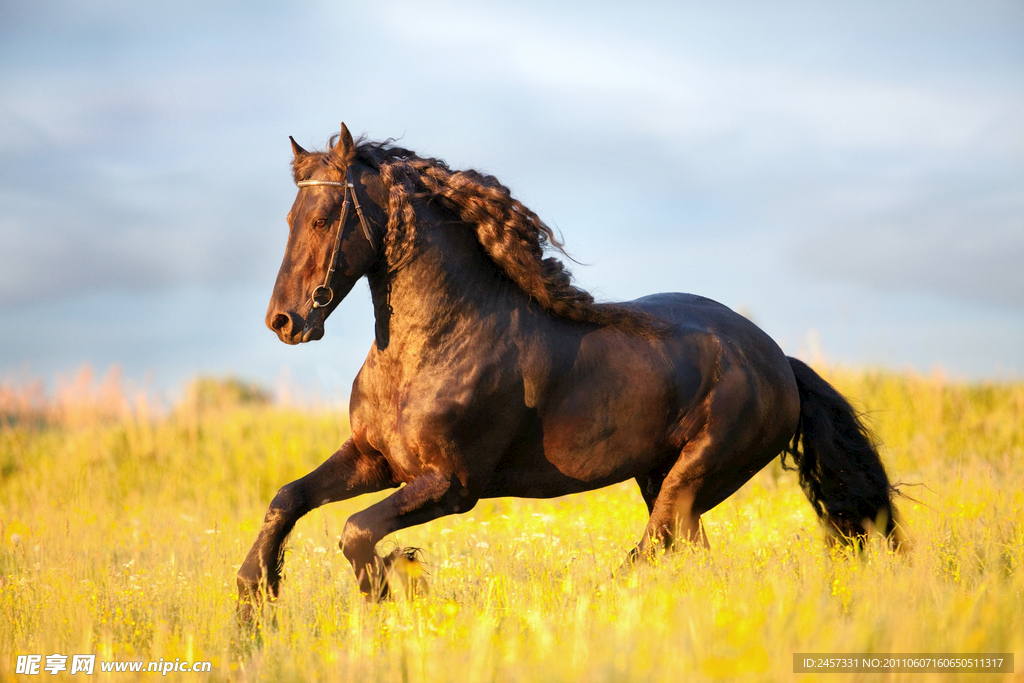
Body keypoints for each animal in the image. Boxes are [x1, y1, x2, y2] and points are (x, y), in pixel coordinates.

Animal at [235, 122, 901, 618]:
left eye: (323, 218)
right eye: (289, 219)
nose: (284, 321)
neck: (431, 347)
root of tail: (778, 361)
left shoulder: (452, 485)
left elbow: (354, 531)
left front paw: (394, 586)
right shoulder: (375, 459)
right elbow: (287, 500)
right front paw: (253, 600)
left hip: (694, 476)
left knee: (652, 549)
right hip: (663, 480)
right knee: (687, 554)